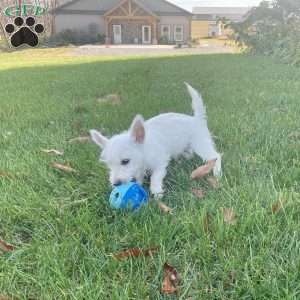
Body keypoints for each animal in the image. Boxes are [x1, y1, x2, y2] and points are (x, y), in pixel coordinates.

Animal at [91, 83, 223, 198]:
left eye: (125, 161)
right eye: (109, 165)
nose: (116, 184)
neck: (145, 149)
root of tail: (196, 119)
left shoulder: (160, 163)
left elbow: (155, 177)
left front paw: (156, 192)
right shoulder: (139, 168)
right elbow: (138, 176)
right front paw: (138, 185)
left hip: (200, 144)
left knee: (215, 156)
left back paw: (217, 173)